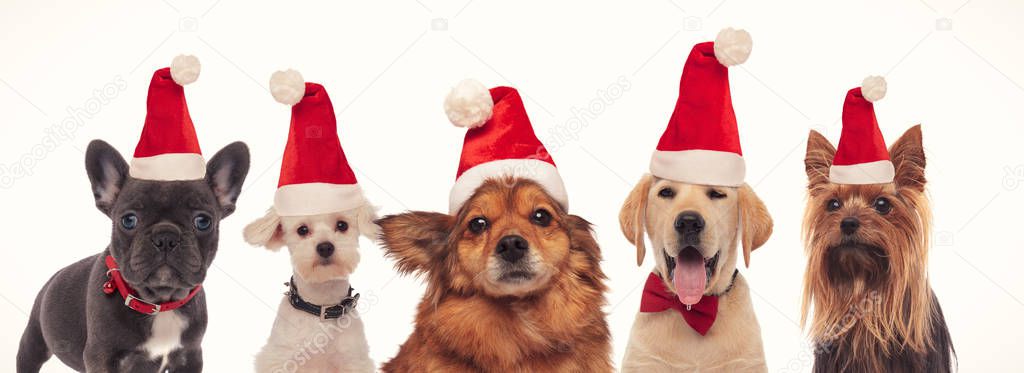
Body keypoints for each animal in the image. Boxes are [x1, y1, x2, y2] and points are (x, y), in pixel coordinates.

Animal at [16, 138, 249, 370]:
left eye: (203, 221)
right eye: (128, 220)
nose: (166, 236)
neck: (159, 304)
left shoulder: (190, 355)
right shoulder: (100, 357)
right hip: (34, 341)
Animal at [244, 204, 380, 370]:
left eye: (342, 225)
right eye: (302, 230)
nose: (325, 247)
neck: (321, 304)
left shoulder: (353, 360)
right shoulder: (280, 359)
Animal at [618, 175, 770, 373]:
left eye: (717, 194)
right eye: (666, 192)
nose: (689, 222)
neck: (691, 310)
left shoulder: (748, 363)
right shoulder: (643, 362)